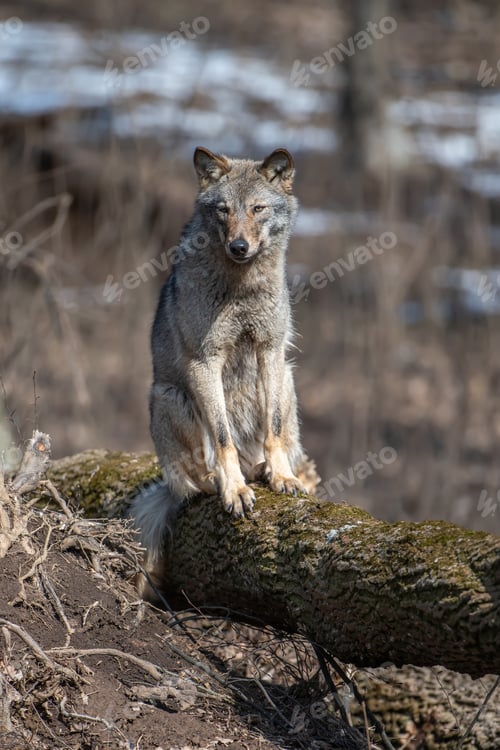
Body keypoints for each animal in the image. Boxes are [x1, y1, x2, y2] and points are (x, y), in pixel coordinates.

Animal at [130, 147, 319, 589]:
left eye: (257, 209)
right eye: (223, 210)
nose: (239, 245)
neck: (240, 286)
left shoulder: (270, 351)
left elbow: (273, 429)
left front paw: (282, 477)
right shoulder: (205, 361)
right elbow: (222, 438)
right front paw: (232, 489)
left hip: (288, 378)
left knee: (276, 441)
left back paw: (269, 470)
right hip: (169, 396)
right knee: (190, 484)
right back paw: (216, 480)